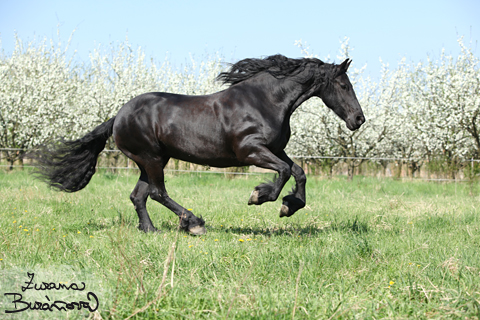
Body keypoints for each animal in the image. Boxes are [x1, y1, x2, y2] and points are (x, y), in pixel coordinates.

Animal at [32, 55, 364, 235]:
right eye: (344, 85)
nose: (358, 120)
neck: (264, 101)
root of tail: (118, 116)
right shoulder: (250, 151)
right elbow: (283, 172)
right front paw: (260, 196)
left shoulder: (275, 149)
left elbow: (298, 172)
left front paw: (289, 206)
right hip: (151, 158)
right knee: (157, 193)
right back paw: (193, 223)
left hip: (151, 160)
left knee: (139, 195)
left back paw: (150, 229)